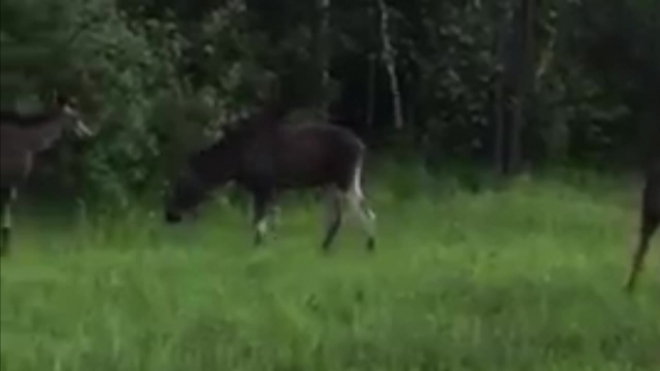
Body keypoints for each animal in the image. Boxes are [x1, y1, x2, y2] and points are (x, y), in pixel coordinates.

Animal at [164, 109, 376, 251]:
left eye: (181, 183)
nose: (169, 215)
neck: (232, 164)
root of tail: (361, 145)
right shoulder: (267, 188)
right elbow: (265, 219)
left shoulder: (264, 186)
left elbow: (259, 221)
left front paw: (258, 246)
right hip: (330, 184)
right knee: (341, 214)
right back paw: (326, 245)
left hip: (344, 180)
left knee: (362, 209)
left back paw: (370, 244)